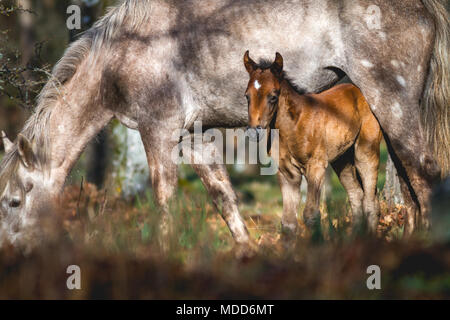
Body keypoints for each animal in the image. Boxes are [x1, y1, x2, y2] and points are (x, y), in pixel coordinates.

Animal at [244, 52, 382, 235]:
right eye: (247, 96)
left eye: (273, 96)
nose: (253, 131)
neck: (294, 126)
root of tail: (358, 91)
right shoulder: (287, 172)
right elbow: (288, 222)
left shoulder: (316, 166)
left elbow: (310, 214)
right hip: (342, 160)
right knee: (356, 194)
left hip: (365, 152)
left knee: (370, 201)